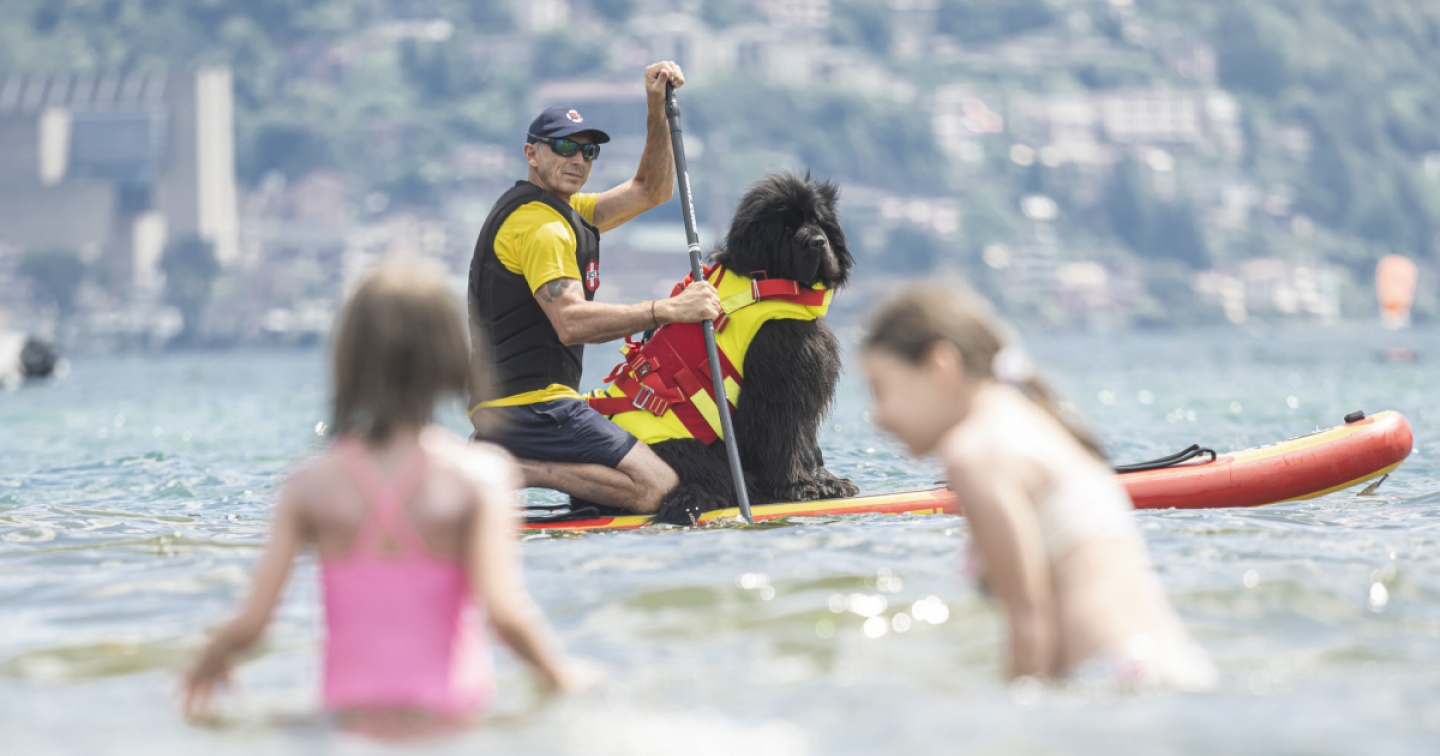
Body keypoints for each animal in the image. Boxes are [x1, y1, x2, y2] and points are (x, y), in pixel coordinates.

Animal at [580, 172, 860, 524]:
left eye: (817, 220)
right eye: (785, 228)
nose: (817, 242)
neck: (765, 280)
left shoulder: (804, 374)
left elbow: (807, 439)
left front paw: (828, 481)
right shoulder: (780, 378)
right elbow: (785, 435)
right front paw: (799, 487)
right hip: (687, 451)